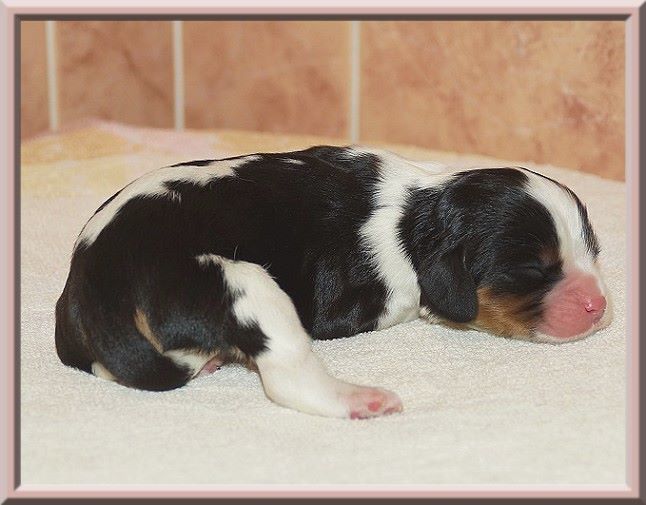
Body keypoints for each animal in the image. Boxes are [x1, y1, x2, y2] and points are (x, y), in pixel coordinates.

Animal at [55, 146, 611, 419]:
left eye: (594, 251)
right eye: (533, 269)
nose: (599, 306)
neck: (417, 215)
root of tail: (93, 284)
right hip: (242, 281)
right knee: (288, 378)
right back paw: (361, 401)